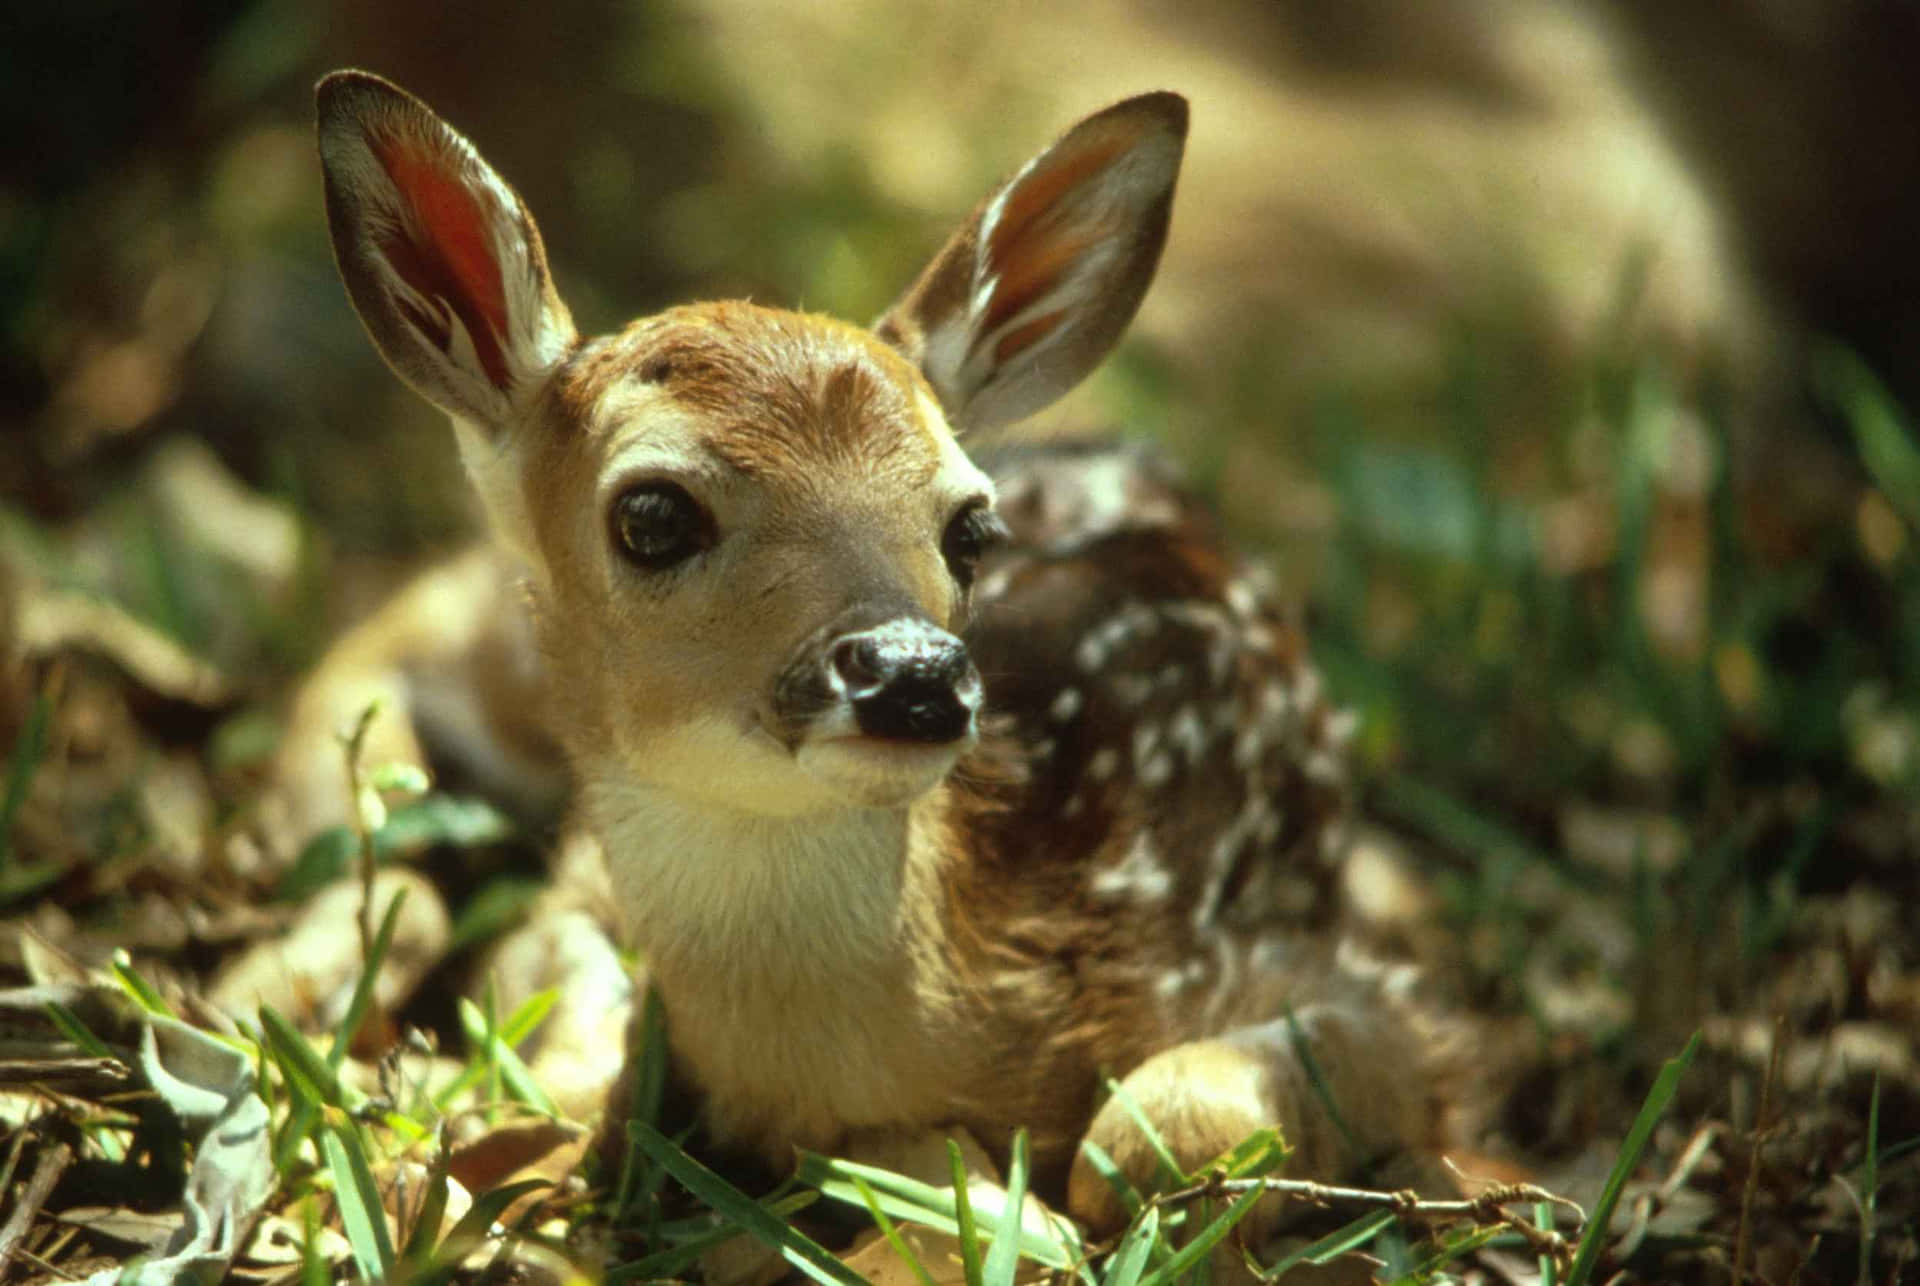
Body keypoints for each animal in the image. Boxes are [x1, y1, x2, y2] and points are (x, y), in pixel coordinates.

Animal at [304, 69, 1459, 1238]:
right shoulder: (578, 887)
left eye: (973, 528)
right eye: (652, 515)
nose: (914, 673)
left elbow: (1144, 1136)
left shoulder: (1368, 987)